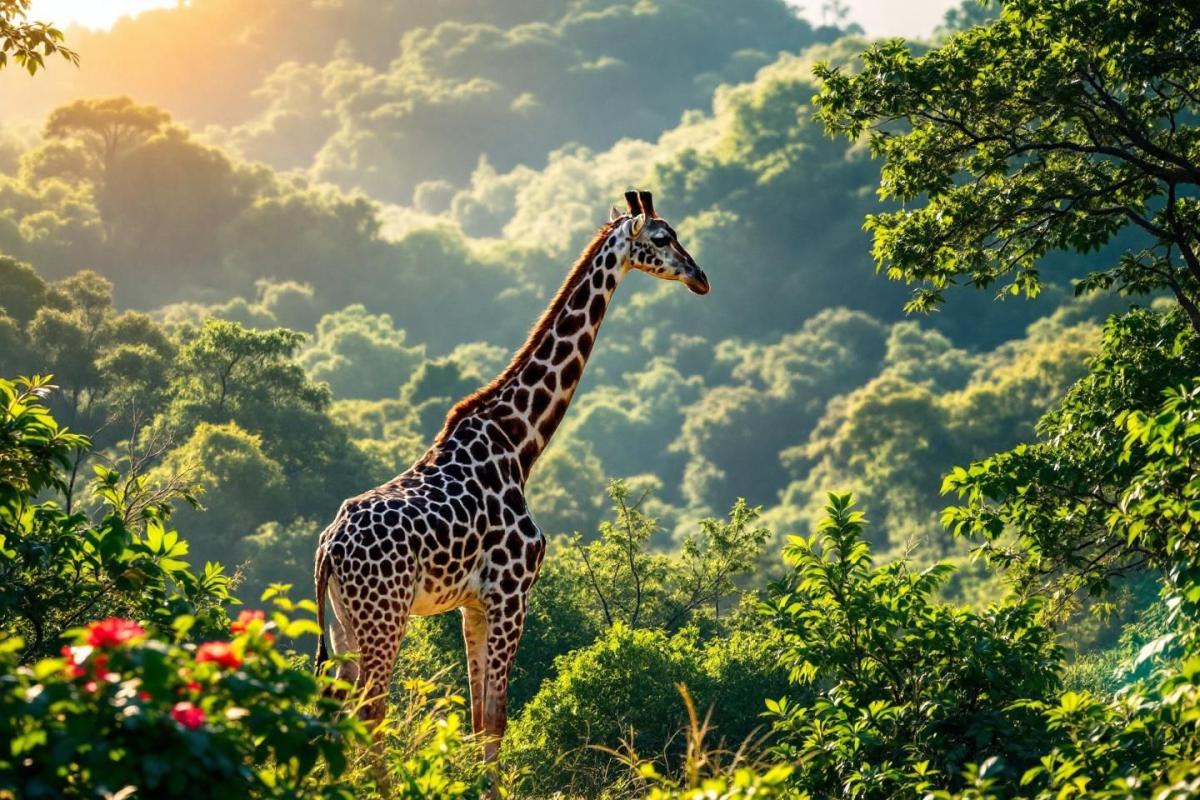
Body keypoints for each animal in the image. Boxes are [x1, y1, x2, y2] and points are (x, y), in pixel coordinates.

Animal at [313, 190, 709, 758]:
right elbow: (497, 721)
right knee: (371, 714)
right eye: (661, 238)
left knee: (339, 712)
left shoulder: (472, 606)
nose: (701, 277)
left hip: (344, 621)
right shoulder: (511, 592)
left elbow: (480, 721)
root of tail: (329, 549)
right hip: (383, 615)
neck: (519, 443)